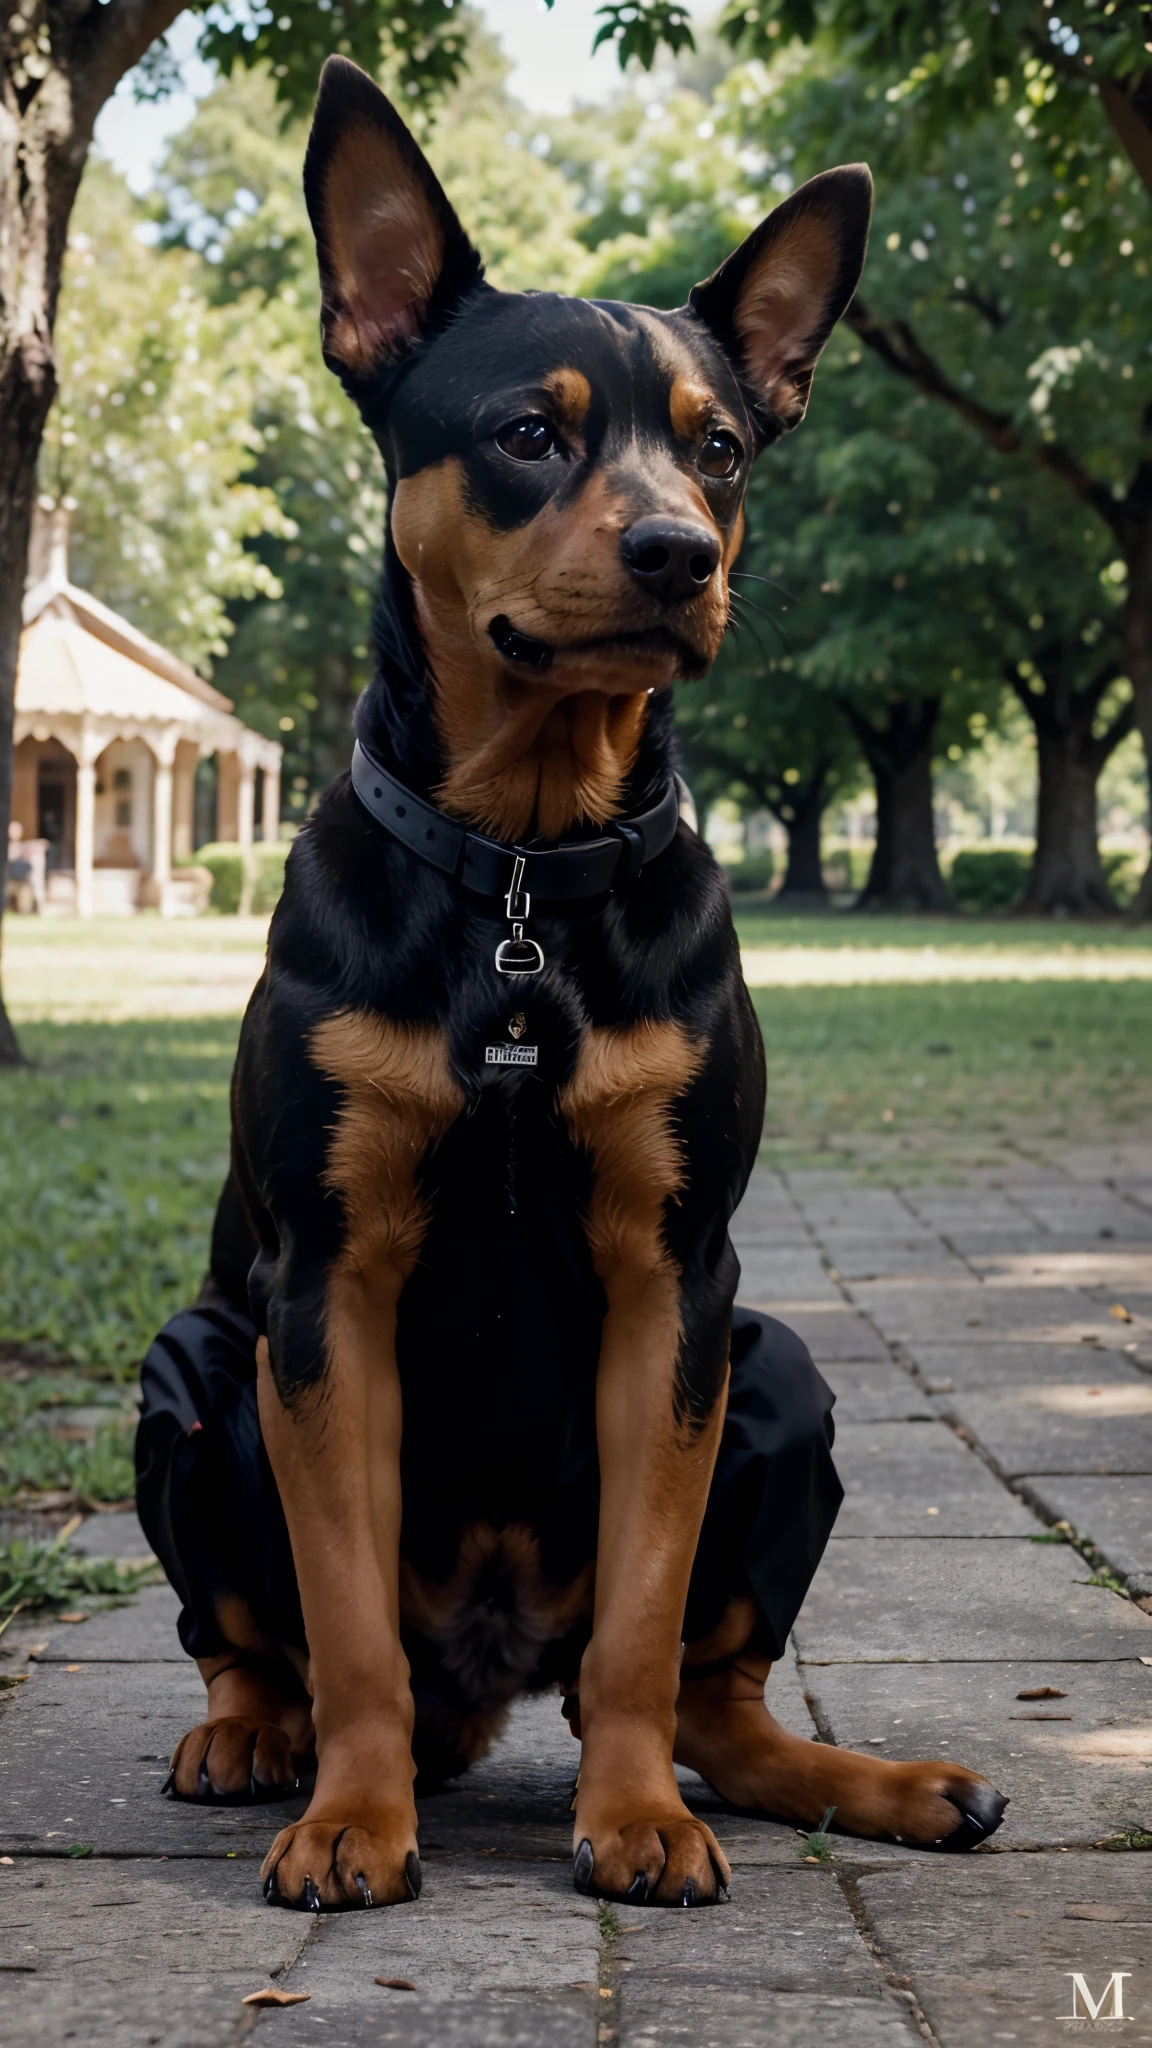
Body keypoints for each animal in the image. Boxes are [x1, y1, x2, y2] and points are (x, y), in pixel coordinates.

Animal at [134, 64, 1000, 1916]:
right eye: (529, 434)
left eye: (720, 444)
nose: (677, 551)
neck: (520, 871)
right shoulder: (326, 1288)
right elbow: (342, 1620)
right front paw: (352, 1817)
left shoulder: (672, 1276)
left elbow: (645, 1624)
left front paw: (635, 1818)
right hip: (195, 1360)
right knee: (253, 1640)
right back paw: (253, 1740)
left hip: (777, 1368)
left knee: (713, 1689)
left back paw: (872, 1783)